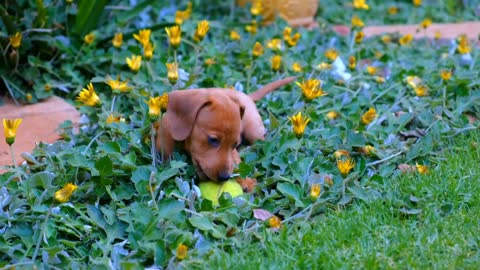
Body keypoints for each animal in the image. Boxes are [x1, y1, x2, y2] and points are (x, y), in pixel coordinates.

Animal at [156, 76, 296, 190]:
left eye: (235, 145)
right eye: (213, 140)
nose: (225, 177)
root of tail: (245, 96)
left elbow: (236, 162)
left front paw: (245, 181)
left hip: (254, 131)